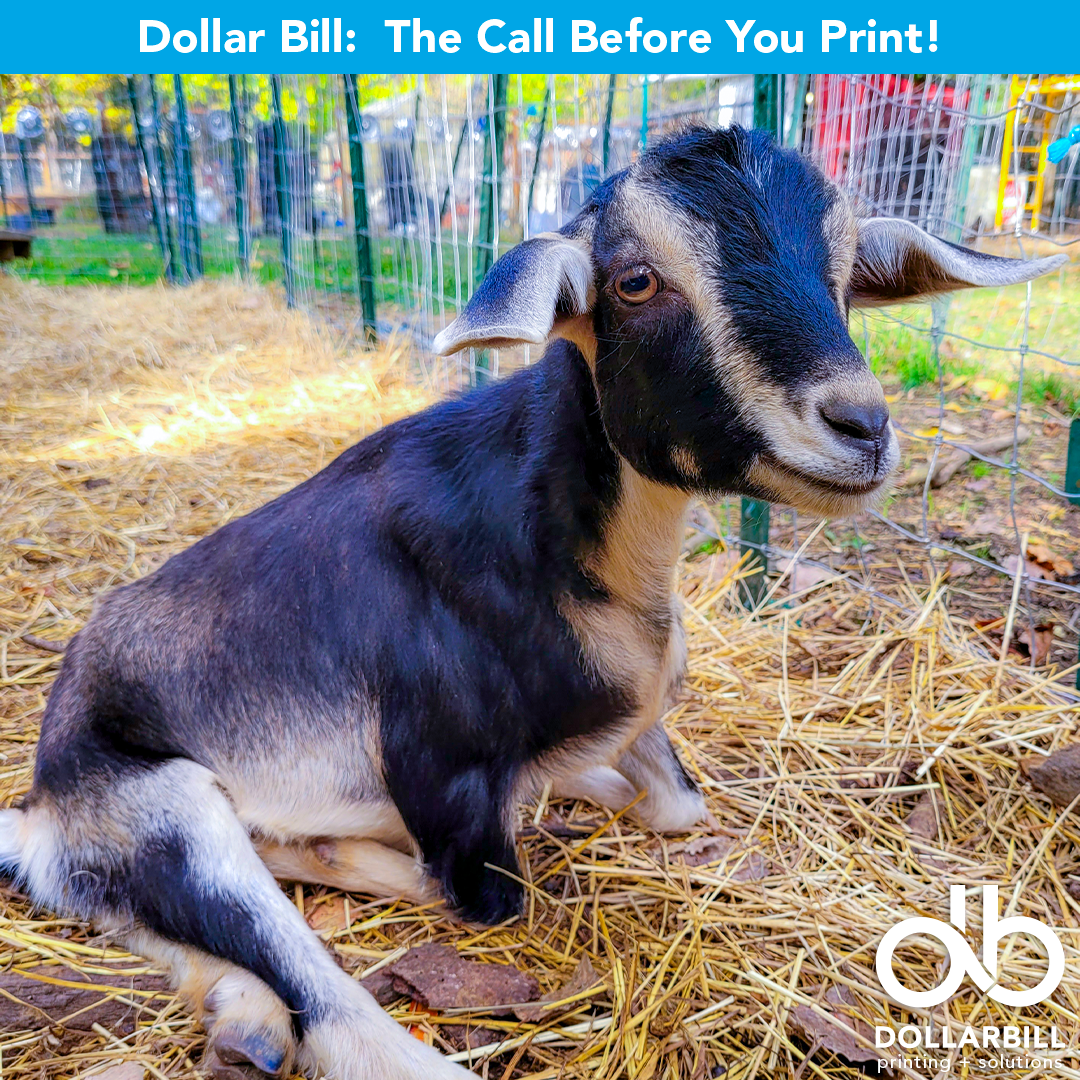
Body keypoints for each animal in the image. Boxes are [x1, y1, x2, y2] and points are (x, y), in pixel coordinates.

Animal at [0, 127, 1064, 1080]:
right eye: (634, 281)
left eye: (845, 275)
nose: (861, 427)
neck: (581, 562)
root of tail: (42, 799)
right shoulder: (445, 781)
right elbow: (489, 888)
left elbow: (673, 803)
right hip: (162, 804)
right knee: (339, 1002)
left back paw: (248, 1014)